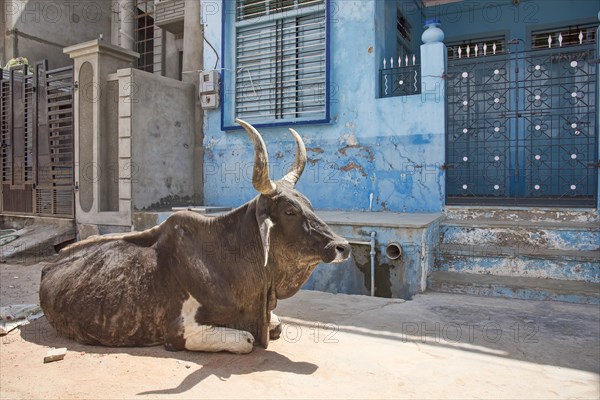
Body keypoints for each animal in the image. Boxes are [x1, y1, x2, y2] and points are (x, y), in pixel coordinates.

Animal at [39, 118, 350, 354]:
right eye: (289, 210)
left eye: (308, 204)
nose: (343, 246)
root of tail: (49, 264)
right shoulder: (178, 332)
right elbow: (247, 341)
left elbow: (276, 324)